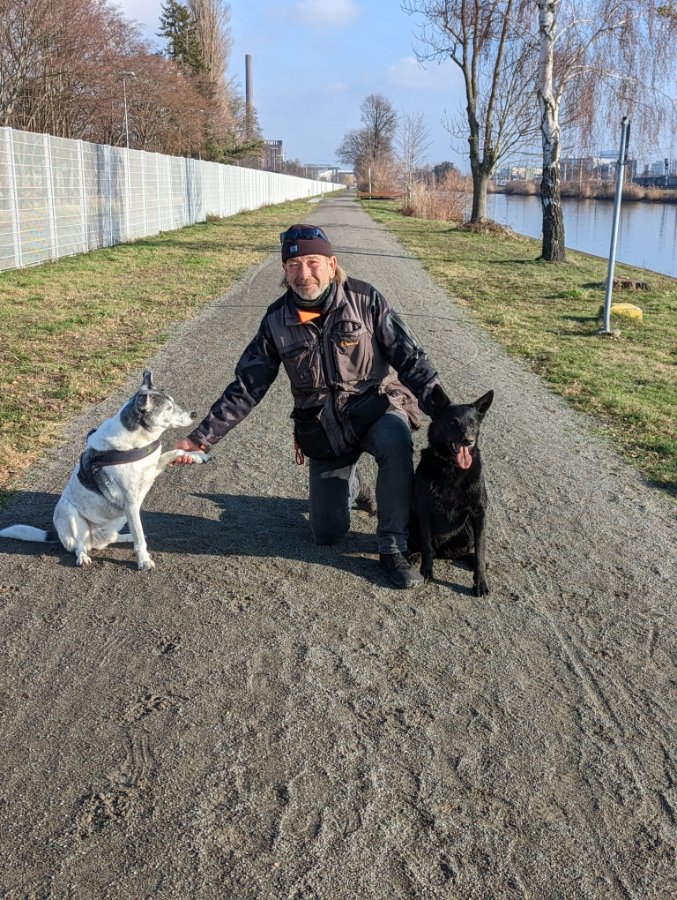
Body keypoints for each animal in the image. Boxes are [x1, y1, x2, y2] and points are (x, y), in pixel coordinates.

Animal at [0, 370, 208, 570]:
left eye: (173, 402)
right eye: (168, 408)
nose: (194, 414)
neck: (135, 441)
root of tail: (58, 535)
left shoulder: (152, 469)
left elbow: (175, 451)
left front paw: (197, 456)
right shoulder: (131, 503)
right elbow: (139, 535)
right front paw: (143, 560)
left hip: (116, 521)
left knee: (112, 539)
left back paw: (125, 537)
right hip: (72, 515)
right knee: (80, 546)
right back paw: (83, 557)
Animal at [408, 385, 494, 595]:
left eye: (472, 423)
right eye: (453, 422)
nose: (468, 441)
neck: (453, 468)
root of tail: (443, 552)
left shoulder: (479, 514)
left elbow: (480, 550)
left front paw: (480, 582)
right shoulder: (425, 511)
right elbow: (427, 545)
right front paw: (426, 570)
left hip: (468, 529)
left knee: (465, 552)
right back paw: (414, 555)